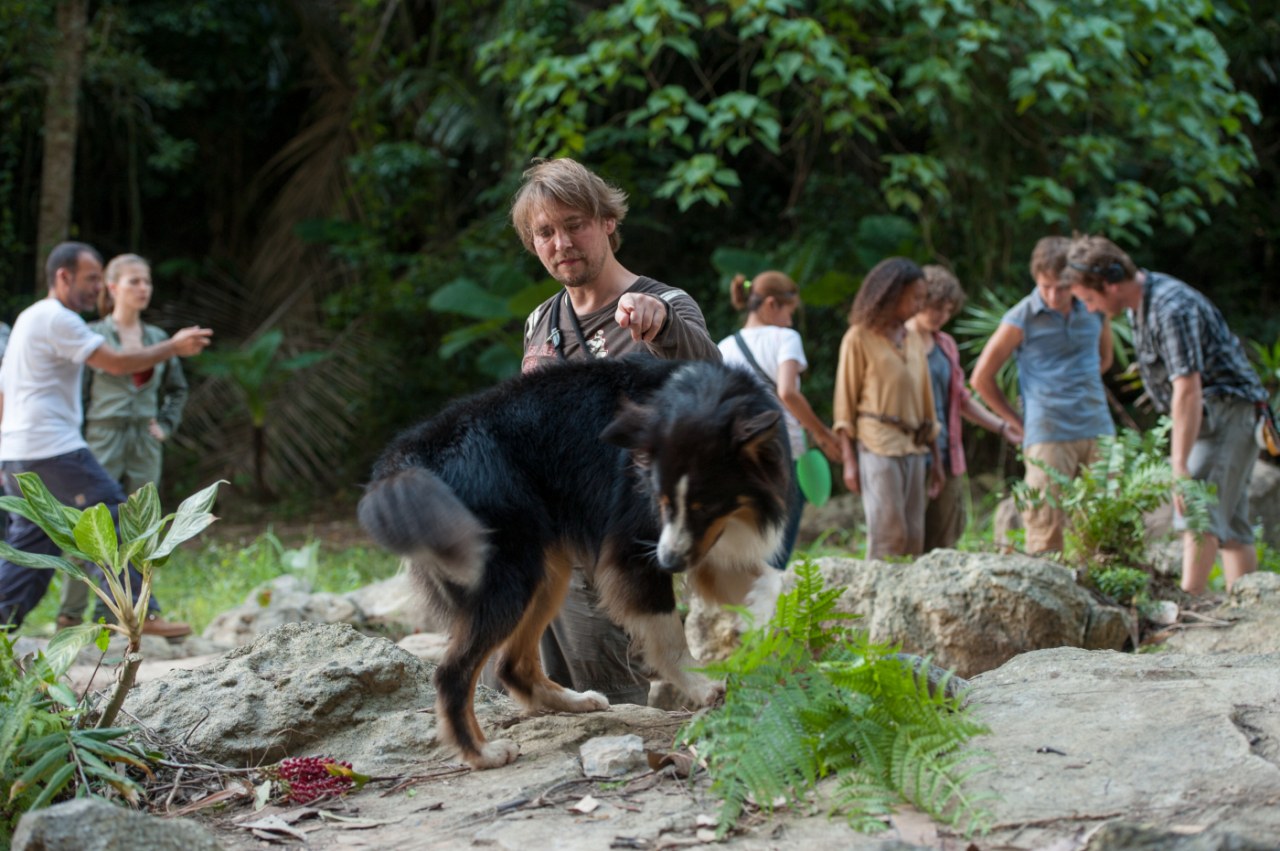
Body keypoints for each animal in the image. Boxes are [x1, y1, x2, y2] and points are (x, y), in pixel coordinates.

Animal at [358, 355, 788, 767]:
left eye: (705, 506)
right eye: (661, 500)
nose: (667, 564)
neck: (699, 397)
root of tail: (408, 456)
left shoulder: (707, 543)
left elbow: (771, 581)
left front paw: (772, 628)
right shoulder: (632, 544)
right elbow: (667, 630)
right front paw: (701, 684)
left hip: (544, 570)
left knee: (511, 663)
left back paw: (572, 702)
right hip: (506, 571)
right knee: (454, 672)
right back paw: (481, 753)